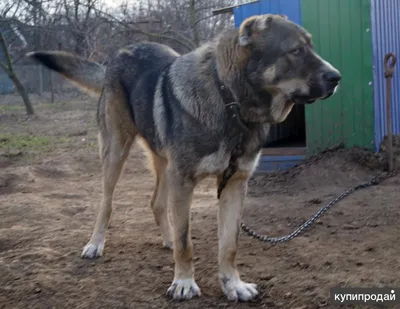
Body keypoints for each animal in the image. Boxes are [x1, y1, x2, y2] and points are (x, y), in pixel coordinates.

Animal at [28, 14, 340, 300]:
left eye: (310, 48)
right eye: (296, 50)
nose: (337, 77)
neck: (230, 103)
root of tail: (118, 55)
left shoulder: (235, 183)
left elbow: (228, 245)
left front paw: (233, 285)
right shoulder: (184, 180)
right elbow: (186, 241)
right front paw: (184, 283)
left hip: (164, 164)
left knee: (156, 203)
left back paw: (166, 241)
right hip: (117, 153)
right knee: (107, 203)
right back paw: (95, 244)